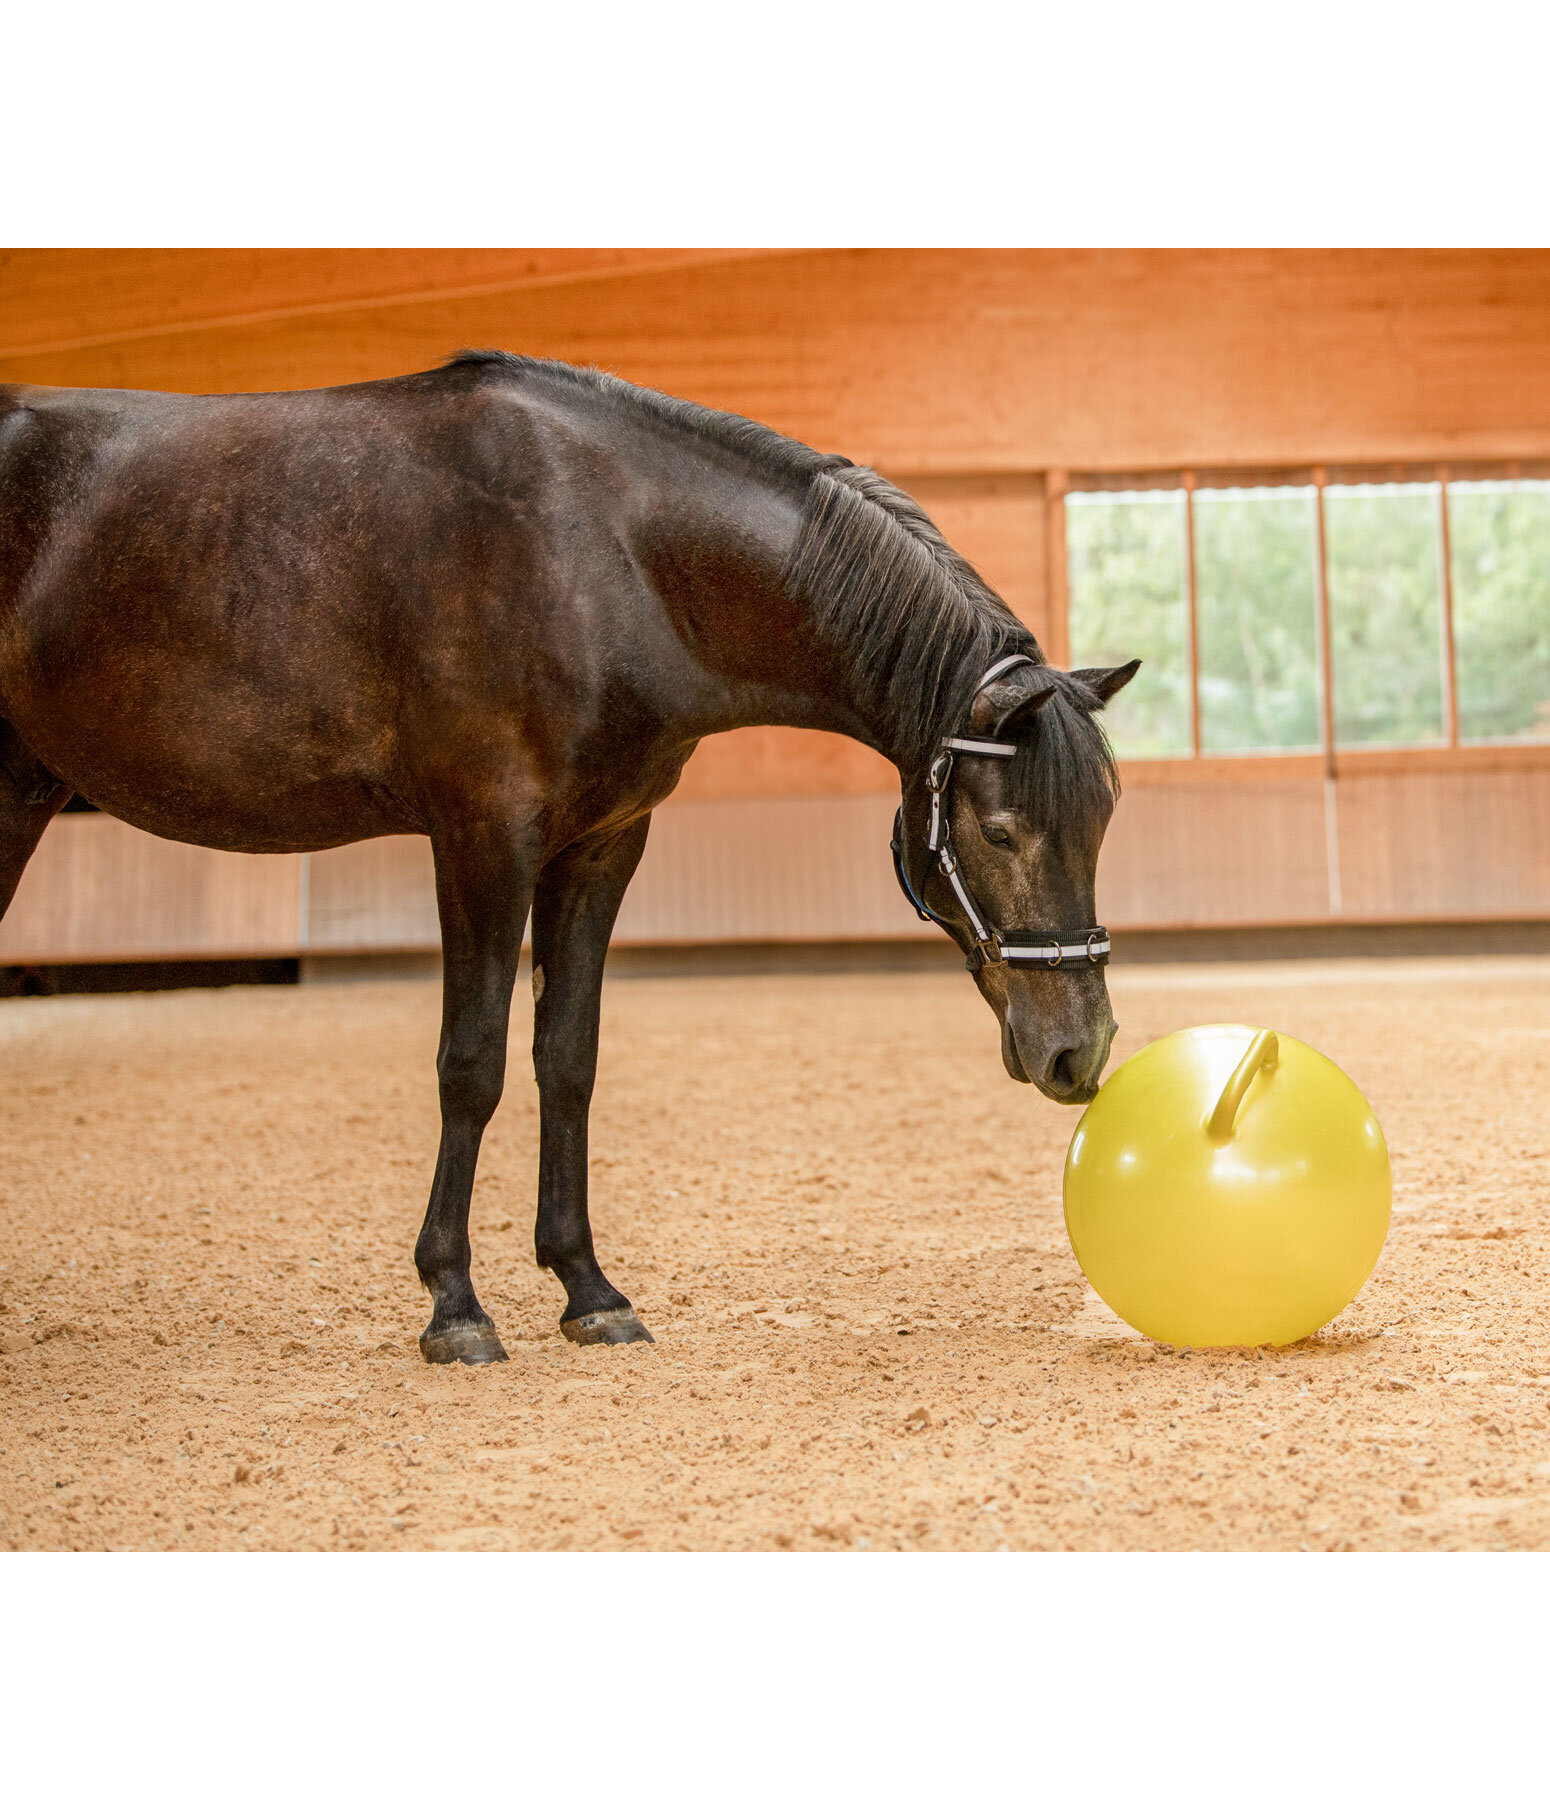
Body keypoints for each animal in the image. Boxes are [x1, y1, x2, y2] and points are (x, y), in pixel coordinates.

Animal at [0, 351, 1137, 1353]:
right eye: (999, 831)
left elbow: (567, 1057)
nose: (1079, 1055)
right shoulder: (482, 840)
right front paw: (455, 1304)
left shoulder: (600, 846)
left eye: (1101, 828)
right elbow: (472, 1063)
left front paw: (587, 1289)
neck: (606, 548)